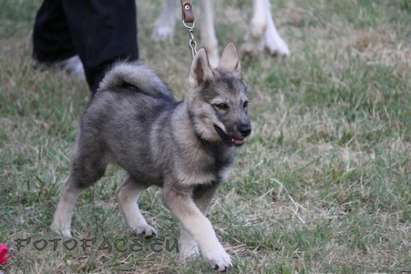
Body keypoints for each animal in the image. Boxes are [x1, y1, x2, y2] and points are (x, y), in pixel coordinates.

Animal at [51, 43, 251, 272]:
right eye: (221, 106)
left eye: (245, 104)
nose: (247, 129)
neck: (204, 142)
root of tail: (106, 89)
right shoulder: (176, 193)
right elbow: (201, 223)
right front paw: (217, 256)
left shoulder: (205, 191)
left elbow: (192, 225)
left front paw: (188, 255)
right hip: (93, 165)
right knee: (69, 187)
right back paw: (60, 227)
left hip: (143, 169)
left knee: (123, 192)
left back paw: (139, 226)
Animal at [151, 0, 290, 66]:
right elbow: (208, 36)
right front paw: (211, 64)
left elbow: (260, 23)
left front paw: (252, 48)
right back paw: (164, 26)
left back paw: (275, 41)